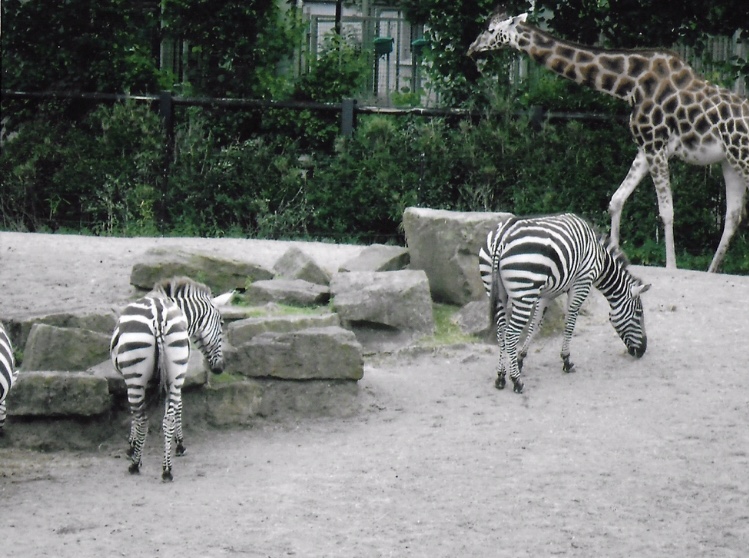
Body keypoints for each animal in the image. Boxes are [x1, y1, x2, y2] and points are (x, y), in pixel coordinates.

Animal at [110, 276, 233, 481]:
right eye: (222, 323)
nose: (219, 368)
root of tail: (158, 317)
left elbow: (136, 414)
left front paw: (132, 447)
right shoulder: (172, 378)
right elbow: (177, 407)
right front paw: (178, 444)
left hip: (136, 377)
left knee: (142, 417)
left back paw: (136, 464)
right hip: (175, 368)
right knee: (165, 418)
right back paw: (166, 469)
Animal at [468, 11, 749, 272]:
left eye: (490, 30)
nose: (472, 47)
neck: (629, 84)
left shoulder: (655, 143)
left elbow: (666, 211)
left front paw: (671, 267)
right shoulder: (645, 147)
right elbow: (616, 200)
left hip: (742, 159)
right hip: (730, 162)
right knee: (733, 217)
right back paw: (712, 271)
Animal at [479, 213, 650, 393]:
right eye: (639, 314)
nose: (642, 351)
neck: (600, 258)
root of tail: (501, 236)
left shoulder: (548, 293)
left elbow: (535, 326)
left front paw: (520, 359)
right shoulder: (582, 283)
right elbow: (570, 323)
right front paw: (566, 360)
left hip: (496, 291)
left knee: (501, 331)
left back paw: (500, 376)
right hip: (524, 291)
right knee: (511, 333)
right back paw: (516, 381)